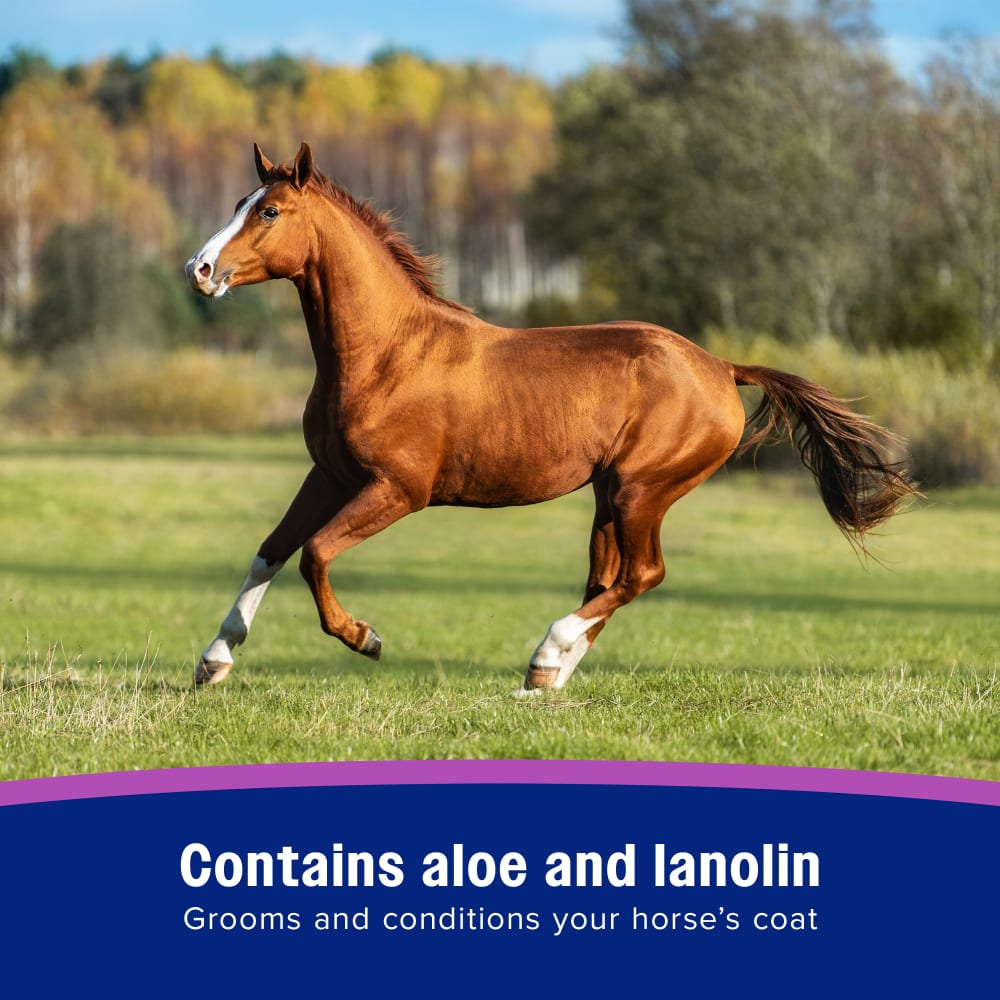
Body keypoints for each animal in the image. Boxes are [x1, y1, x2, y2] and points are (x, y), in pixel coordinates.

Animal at [185, 141, 918, 692]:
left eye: (270, 210)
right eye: (238, 205)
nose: (200, 269)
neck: (387, 354)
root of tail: (720, 367)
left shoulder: (397, 489)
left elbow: (314, 554)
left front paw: (365, 638)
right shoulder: (329, 475)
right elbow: (271, 550)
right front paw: (213, 661)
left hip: (642, 489)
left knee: (642, 575)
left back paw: (546, 654)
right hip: (609, 494)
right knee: (609, 577)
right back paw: (547, 678)